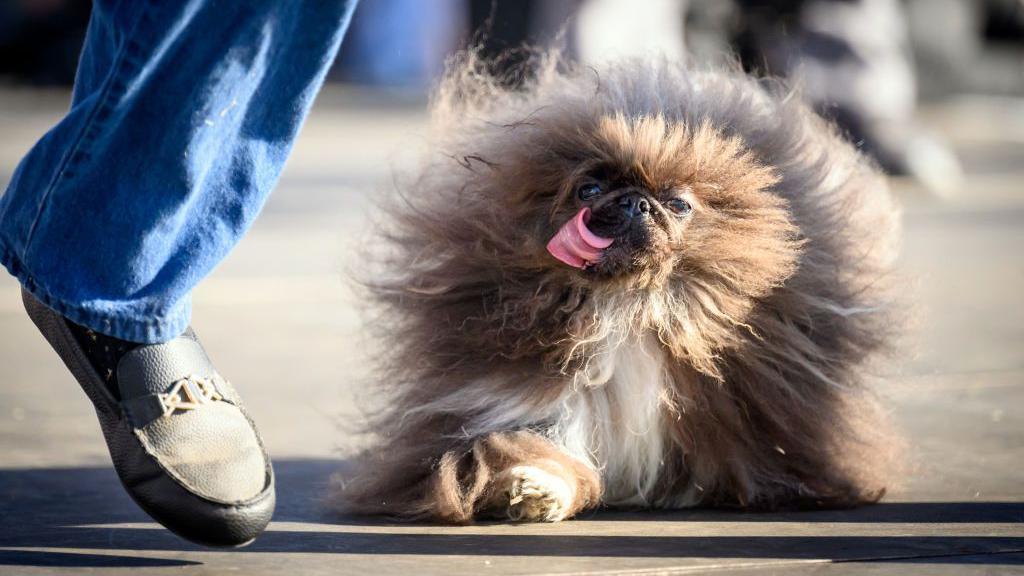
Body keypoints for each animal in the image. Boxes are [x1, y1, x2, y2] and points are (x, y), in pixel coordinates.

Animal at [331, 51, 901, 522]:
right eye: (589, 189)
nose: (635, 202)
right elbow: (542, 451)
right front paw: (533, 491)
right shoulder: (528, 400)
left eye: (678, 204)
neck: (630, 308)